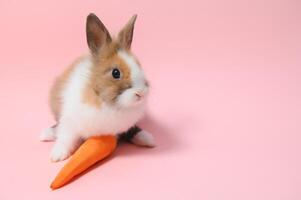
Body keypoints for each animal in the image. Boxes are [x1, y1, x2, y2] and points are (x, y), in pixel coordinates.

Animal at [39, 13, 155, 162]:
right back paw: (46, 134)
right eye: (116, 73)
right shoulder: (70, 122)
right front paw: (57, 155)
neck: (104, 101)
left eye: (139, 65)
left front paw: (148, 139)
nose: (141, 93)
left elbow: (131, 130)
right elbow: (66, 137)